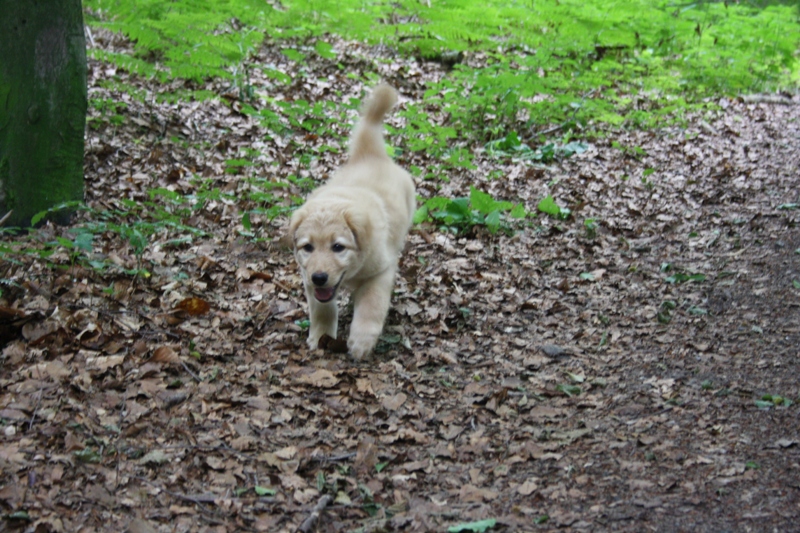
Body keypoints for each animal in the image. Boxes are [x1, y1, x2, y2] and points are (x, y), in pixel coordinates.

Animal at [289, 84, 416, 359]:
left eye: (338, 247)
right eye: (307, 247)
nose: (319, 277)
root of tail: (371, 155)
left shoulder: (381, 271)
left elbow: (371, 305)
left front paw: (361, 341)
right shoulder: (307, 276)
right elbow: (322, 308)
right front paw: (321, 335)